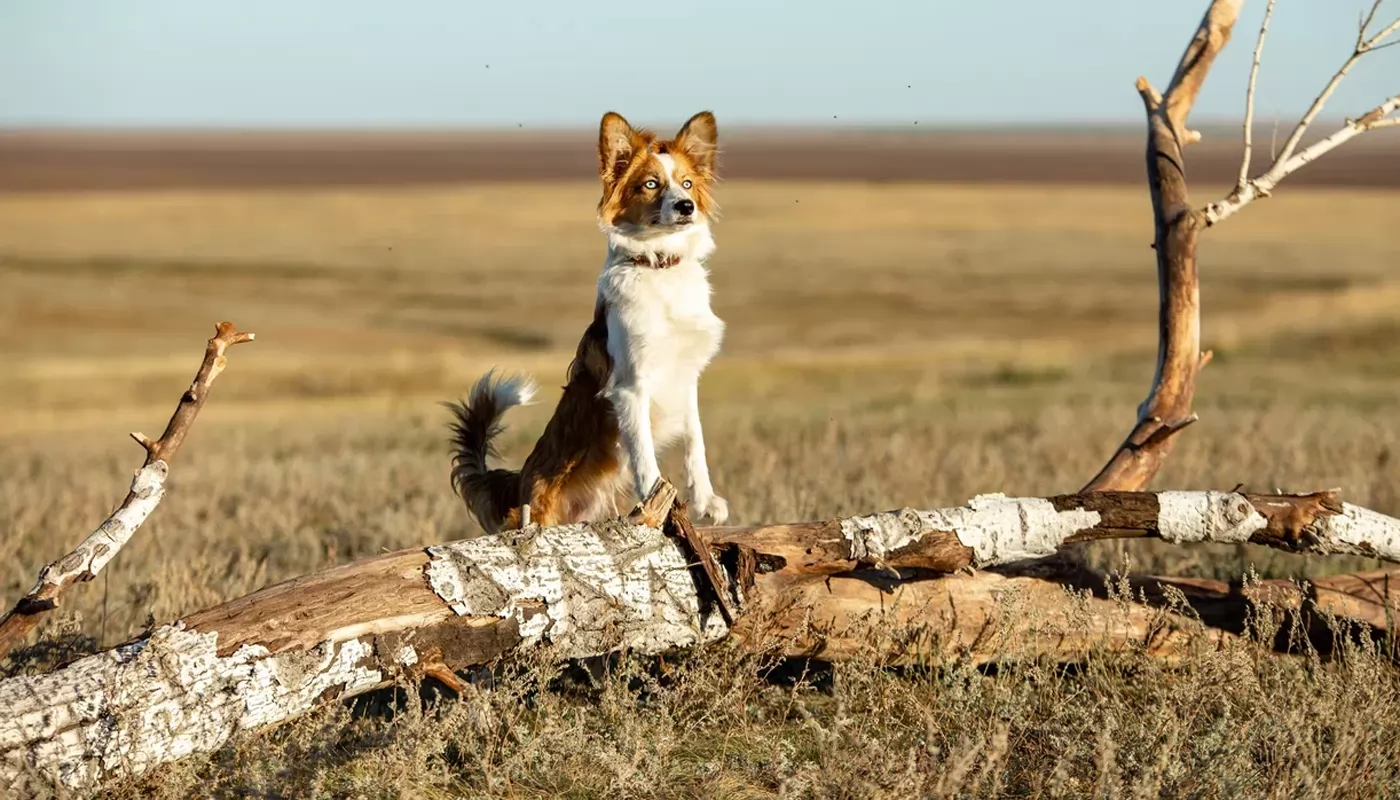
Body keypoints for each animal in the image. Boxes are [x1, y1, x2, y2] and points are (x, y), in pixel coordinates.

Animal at [448, 109, 733, 535]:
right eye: (651, 184)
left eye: (686, 183)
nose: (685, 206)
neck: (659, 267)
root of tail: (516, 485)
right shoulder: (631, 386)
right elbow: (644, 455)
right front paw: (656, 502)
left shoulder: (687, 378)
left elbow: (695, 442)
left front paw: (706, 501)